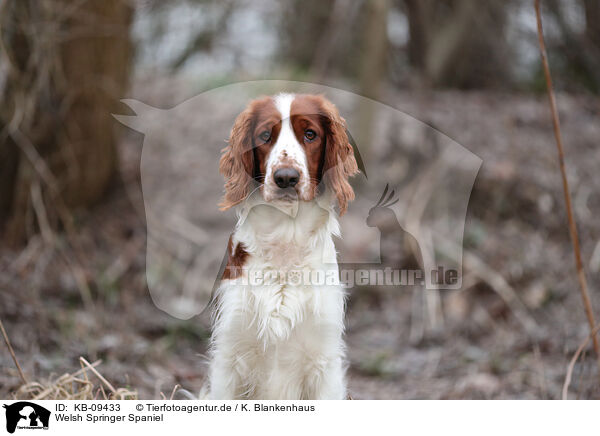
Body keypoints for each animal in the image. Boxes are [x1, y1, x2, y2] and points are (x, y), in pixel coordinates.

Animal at [204, 93, 358, 400]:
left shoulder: (324, 362)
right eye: (265, 136)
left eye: (310, 134)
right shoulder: (229, 356)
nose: (286, 177)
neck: (286, 239)